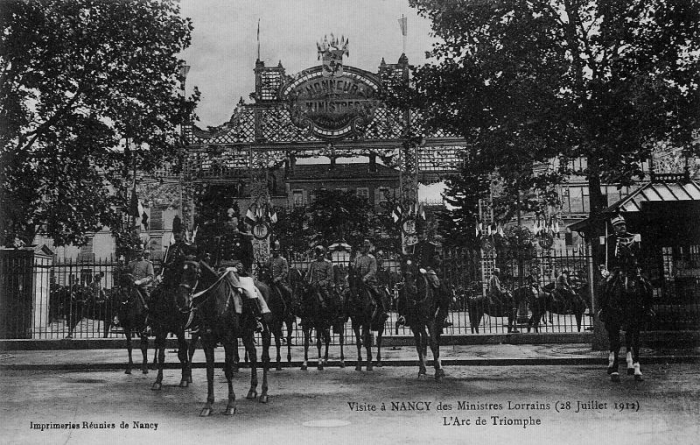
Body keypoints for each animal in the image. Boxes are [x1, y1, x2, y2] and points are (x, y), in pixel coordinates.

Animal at [180, 260, 268, 416]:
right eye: (181, 272)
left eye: (194, 274)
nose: (181, 301)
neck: (215, 302)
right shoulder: (207, 342)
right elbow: (209, 372)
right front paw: (208, 405)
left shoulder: (229, 341)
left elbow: (228, 371)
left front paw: (231, 404)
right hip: (246, 333)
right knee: (253, 354)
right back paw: (252, 390)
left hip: (267, 330)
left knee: (264, 357)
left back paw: (264, 393)